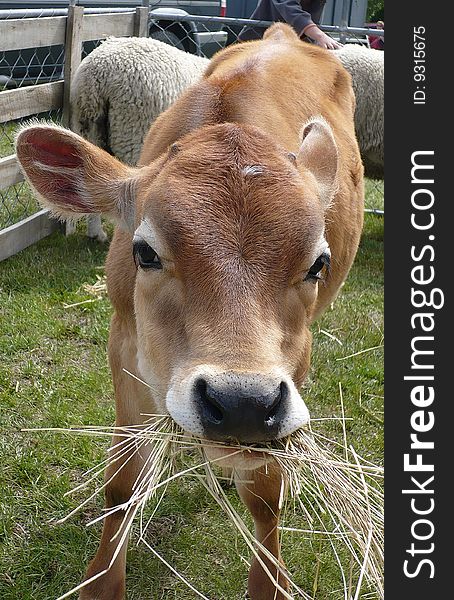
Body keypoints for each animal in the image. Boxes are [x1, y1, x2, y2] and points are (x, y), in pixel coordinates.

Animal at [15, 23, 364, 600]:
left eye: (319, 263)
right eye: (144, 252)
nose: (242, 402)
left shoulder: (291, 374)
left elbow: (266, 493)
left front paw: (269, 581)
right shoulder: (124, 343)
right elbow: (122, 480)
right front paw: (103, 580)